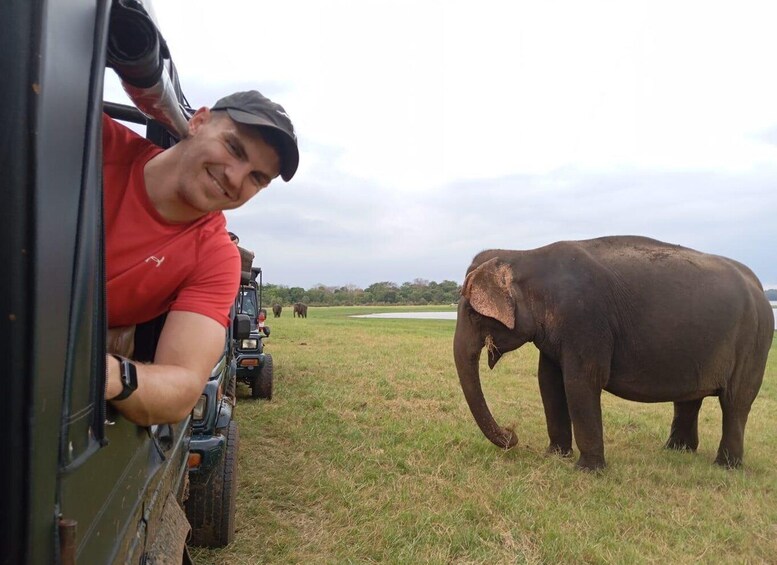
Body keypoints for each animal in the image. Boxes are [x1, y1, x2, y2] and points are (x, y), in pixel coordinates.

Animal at [452, 236, 772, 470]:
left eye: (472, 313)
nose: (512, 434)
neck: (524, 255)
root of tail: (758, 285)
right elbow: (549, 382)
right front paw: (554, 456)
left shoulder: (585, 319)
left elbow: (581, 381)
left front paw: (587, 470)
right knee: (689, 400)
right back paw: (677, 451)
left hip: (755, 343)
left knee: (735, 401)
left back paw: (725, 466)